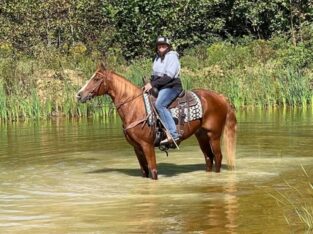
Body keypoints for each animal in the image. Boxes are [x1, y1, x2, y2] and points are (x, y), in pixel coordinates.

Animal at [76, 63, 236, 180]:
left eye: (96, 79)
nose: (79, 95)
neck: (135, 107)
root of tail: (221, 97)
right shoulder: (137, 148)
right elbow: (144, 172)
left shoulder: (147, 146)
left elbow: (153, 172)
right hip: (201, 135)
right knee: (209, 158)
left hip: (214, 135)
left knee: (218, 157)